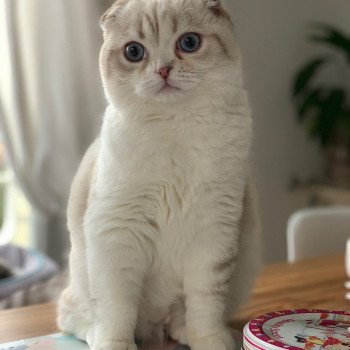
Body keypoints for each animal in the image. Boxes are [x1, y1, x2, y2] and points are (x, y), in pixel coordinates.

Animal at [56, 0, 260, 350]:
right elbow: (117, 308)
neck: (173, 127)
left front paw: (209, 340)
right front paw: (117, 344)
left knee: (177, 321)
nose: (163, 70)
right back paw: (99, 335)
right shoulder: (117, 232)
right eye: (134, 52)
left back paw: (197, 333)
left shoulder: (213, 233)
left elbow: (205, 305)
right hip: (81, 277)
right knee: (74, 316)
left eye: (189, 43)